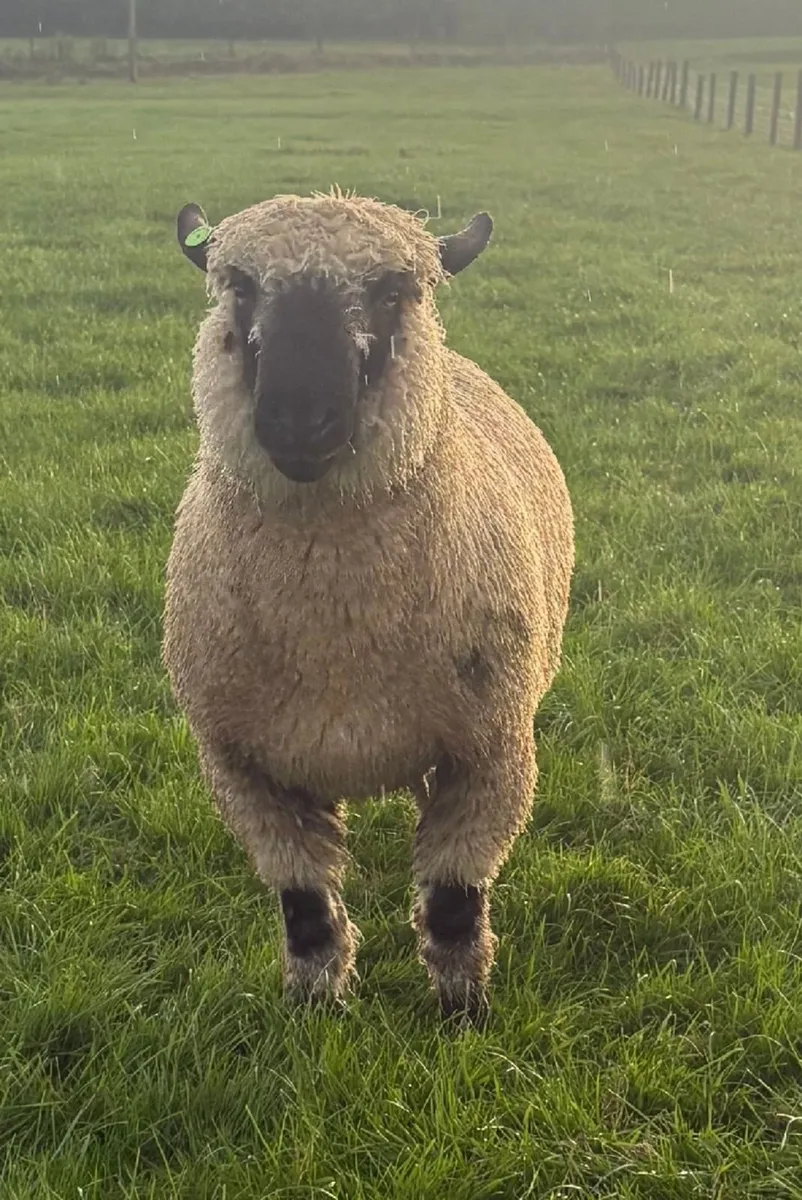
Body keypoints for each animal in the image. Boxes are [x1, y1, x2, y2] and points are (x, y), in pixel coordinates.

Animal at [163, 189, 574, 1023]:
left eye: (393, 291)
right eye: (240, 286)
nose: (299, 419)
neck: (335, 635)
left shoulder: (491, 755)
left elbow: (453, 905)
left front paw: (464, 1019)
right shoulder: (243, 769)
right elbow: (306, 909)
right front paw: (315, 1012)